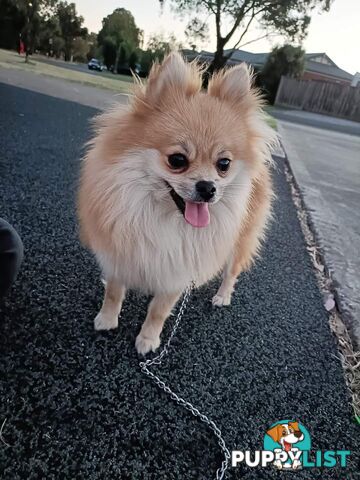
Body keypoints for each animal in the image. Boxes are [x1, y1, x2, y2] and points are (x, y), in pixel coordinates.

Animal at [78, 52, 276, 354]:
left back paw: (222, 296)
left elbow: (158, 310)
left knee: (232, 271)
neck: (161, 216)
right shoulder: (118, 252)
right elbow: (113, 291)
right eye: (177, 160)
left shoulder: (179, 269)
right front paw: (107, 319)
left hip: (240, 240)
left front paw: (148, 339)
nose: (208, 188)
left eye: (224, 164)